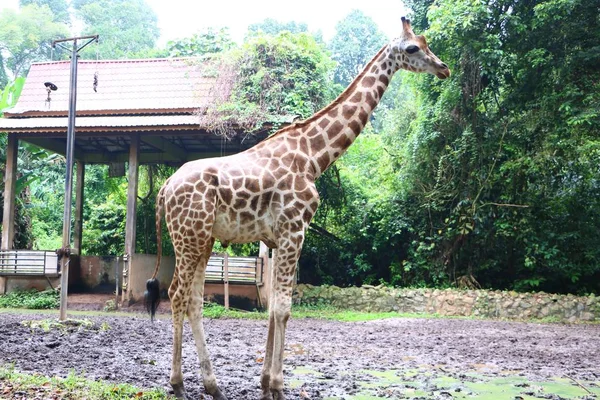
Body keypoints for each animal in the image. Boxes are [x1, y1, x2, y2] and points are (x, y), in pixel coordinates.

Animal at [143, 16, 448, 400]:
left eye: (426, 43)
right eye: (412, 48)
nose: (443, 68)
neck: (314, 157)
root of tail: (166, 187)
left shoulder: (277, 239)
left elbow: (273, 306)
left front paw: (264, 385)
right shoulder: (294, 231)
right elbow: (285, 308)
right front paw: (278, 386)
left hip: (203, 240)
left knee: (194, 299)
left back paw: (213, 386)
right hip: (189, 237)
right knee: (176, 294)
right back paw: (178, 383)